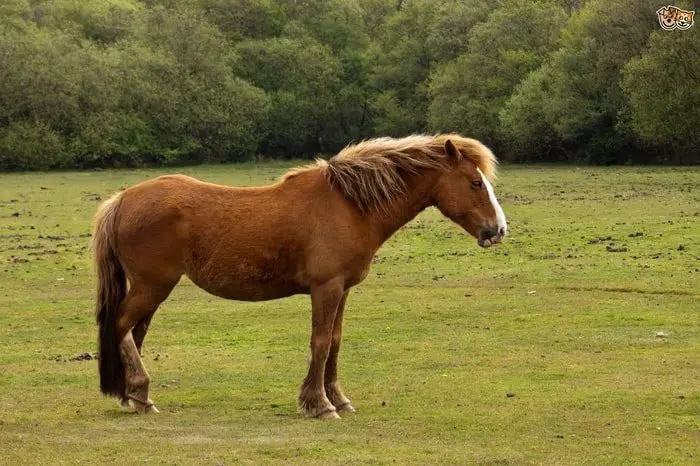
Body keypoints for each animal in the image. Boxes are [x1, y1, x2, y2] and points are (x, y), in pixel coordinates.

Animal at [94, 134, 508, 418]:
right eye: (475, 182)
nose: (498, 229)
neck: (349, 205)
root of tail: (122, 200)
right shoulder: (326, 288)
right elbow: (320, 342)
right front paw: (320, 404)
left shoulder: (343, 290)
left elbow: (335, 343)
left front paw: (338, 399)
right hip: (152, 286)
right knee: (121, 326)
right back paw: (140, 392)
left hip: (151, 290)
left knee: (135, 333)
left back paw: (134, 396)